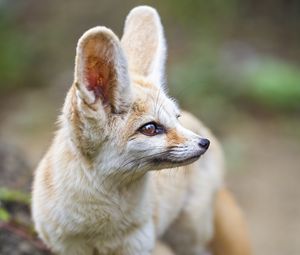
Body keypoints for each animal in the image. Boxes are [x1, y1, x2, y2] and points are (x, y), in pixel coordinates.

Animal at [31, 4, 252, 255]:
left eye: (175, 118)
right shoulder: (67, 247)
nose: (204, 143)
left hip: (189, 236)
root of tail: (200, 123)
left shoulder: (137, 245)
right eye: (150, 128)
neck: (99, 225)